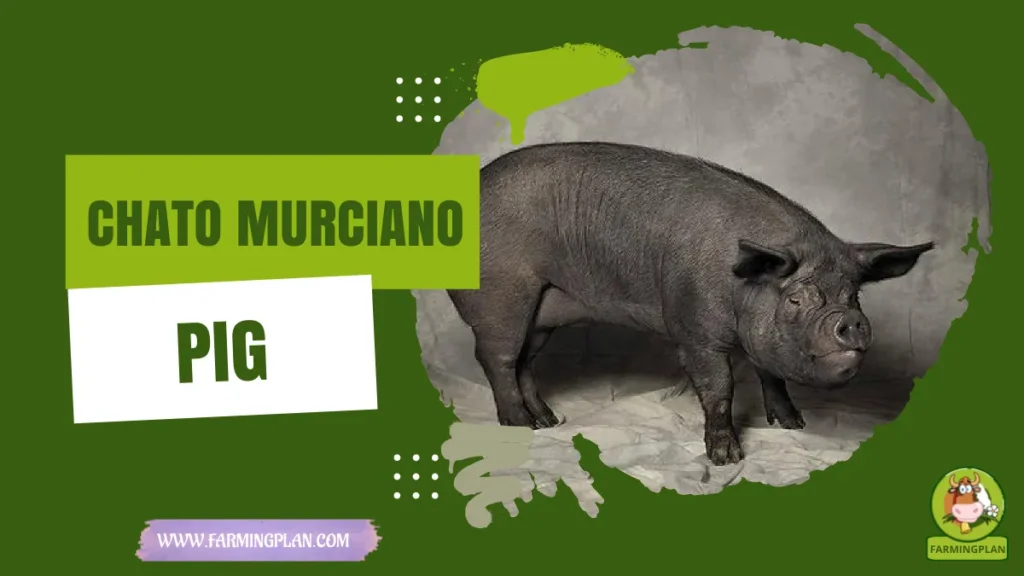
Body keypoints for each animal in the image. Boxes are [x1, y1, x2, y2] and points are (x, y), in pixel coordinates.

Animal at [448, 142, 934, 465]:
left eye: (853, 295)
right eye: (796, 298)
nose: (850, 321)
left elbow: (771, 374)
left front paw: (793, 426)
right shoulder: (694, 329)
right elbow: (719, 387)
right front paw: (726, 459)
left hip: (542, 313)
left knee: (525, 362)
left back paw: (549, 422)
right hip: (501, 297)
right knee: (496, 359)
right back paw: (520, 426)